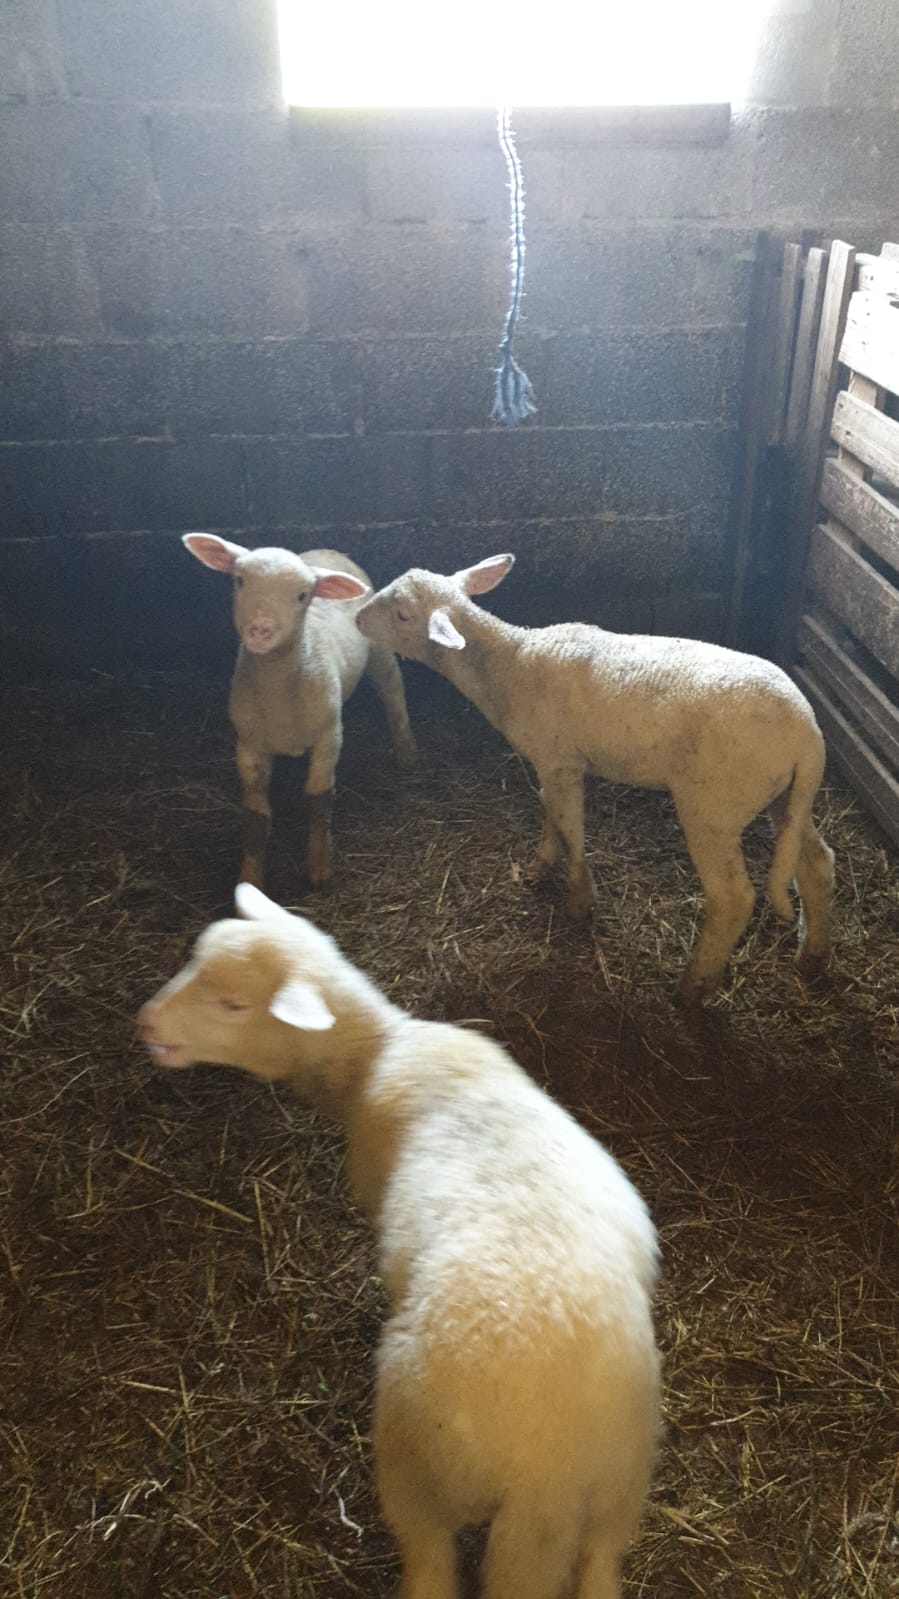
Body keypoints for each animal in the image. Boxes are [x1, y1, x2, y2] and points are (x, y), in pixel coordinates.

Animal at [138, 882, 661, 1599]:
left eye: (235, 1005)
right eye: (194, 959)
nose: (145, 1024)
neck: (375, 1054)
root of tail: (547, 1471)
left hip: (419, 1464)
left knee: (430, 1559)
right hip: (620, 1494)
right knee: (602, 1565)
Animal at [183, 534, 416, 890]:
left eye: (302, 596)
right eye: (240, 581)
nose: (260, 630)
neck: (278, 687)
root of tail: (328, 551)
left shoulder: (329, 736)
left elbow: (319, 799)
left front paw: (319, 868)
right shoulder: (248, 746)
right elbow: (256, 819)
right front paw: (251, 879)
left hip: (378, 648)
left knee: (393, 692)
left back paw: (405, 753)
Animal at [355, 554, 835, 1004]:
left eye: (401, 614)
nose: (358, 617)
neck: (508, 665)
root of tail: (808, 734)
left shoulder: (560, 761)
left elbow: (570, 826)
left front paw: (578, 901)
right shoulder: (550, 762)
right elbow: (548, 810)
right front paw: (539, 866)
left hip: (714, 805)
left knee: (733, 898)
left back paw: (691, 989)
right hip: (786, 796)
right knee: (817, 863)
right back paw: (812, 955)